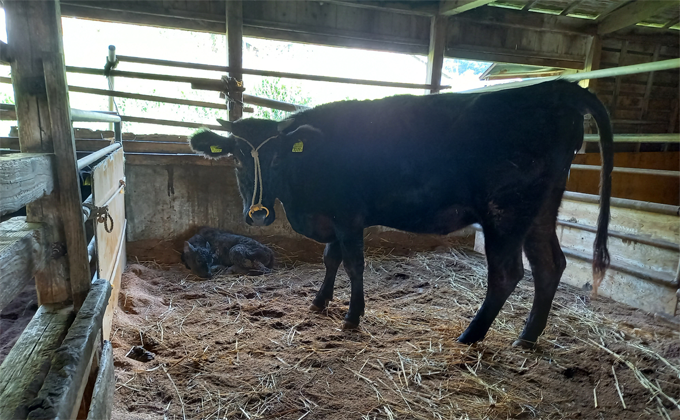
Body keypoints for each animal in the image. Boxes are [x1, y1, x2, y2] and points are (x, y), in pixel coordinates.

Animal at [189, 79, 612, 348]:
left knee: (507, 274)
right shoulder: (336, 220)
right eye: (237, 158)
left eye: (277, 158)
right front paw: (320, 301)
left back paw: (471, 336)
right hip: (540, 212)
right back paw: (526, 336)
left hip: (505, 213)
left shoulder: (348, 216)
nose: (258, 214)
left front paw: (352, 316)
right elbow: (331, 258)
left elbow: (352, 263)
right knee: (550, 266)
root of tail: (557, 88)